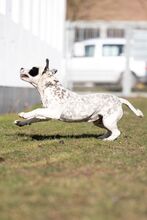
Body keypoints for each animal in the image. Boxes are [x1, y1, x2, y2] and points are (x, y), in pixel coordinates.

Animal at [14, 58, 144, 141]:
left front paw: (24, 114)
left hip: (108, 120)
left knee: (117, 132)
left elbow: (36, 111)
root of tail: (119, 99)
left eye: (33, 69)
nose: (21, 67)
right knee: (109, 131)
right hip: (100, 121)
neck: (49, 87)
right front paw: (21, 122)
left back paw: (108, 140)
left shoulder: (53, 112)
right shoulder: (46, 115)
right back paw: (103, 137)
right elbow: (34, 118)